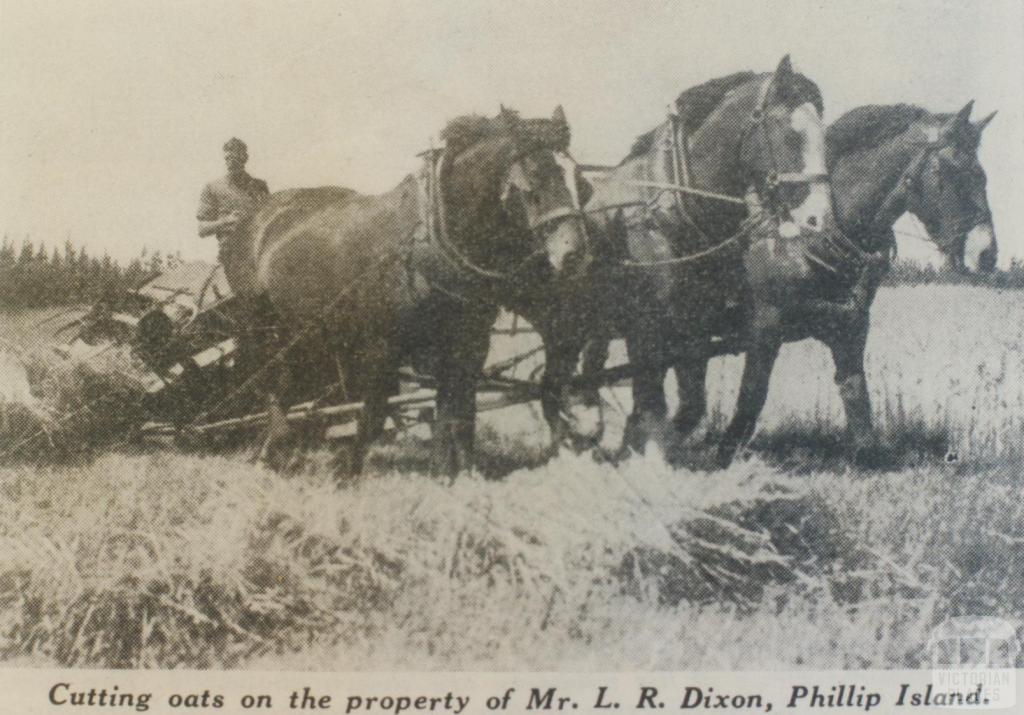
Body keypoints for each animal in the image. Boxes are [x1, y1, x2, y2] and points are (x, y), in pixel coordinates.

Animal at [219, 106, 589, 473]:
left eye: (577, 180)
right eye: (533, 178)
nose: (573, 252)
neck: (429, 237)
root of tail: (253, 218)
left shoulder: (468, 343)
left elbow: (457, 414)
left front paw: (455, 473)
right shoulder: (381, 345)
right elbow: (374, 414)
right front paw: (349, 472)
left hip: (306, 326)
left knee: (289, 378)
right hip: (256, 321)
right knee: (264, 375)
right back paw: (272, 442)